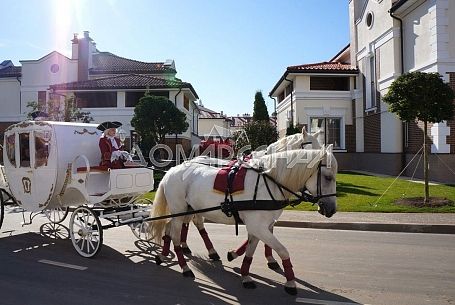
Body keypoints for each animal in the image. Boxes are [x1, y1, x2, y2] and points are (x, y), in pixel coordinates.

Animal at [150, 146, 334, 294]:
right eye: (328, 177)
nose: (331, 209)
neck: (269, 181)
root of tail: (172, 170)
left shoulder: (261, 225)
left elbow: (251, 250)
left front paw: (245, 273)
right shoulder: (258, 226)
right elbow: (282, 251)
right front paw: (290, 282)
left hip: (187, 209)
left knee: (172, 228)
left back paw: (165, 255)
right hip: (179, 210)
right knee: (176, 234)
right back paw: (185, 266)